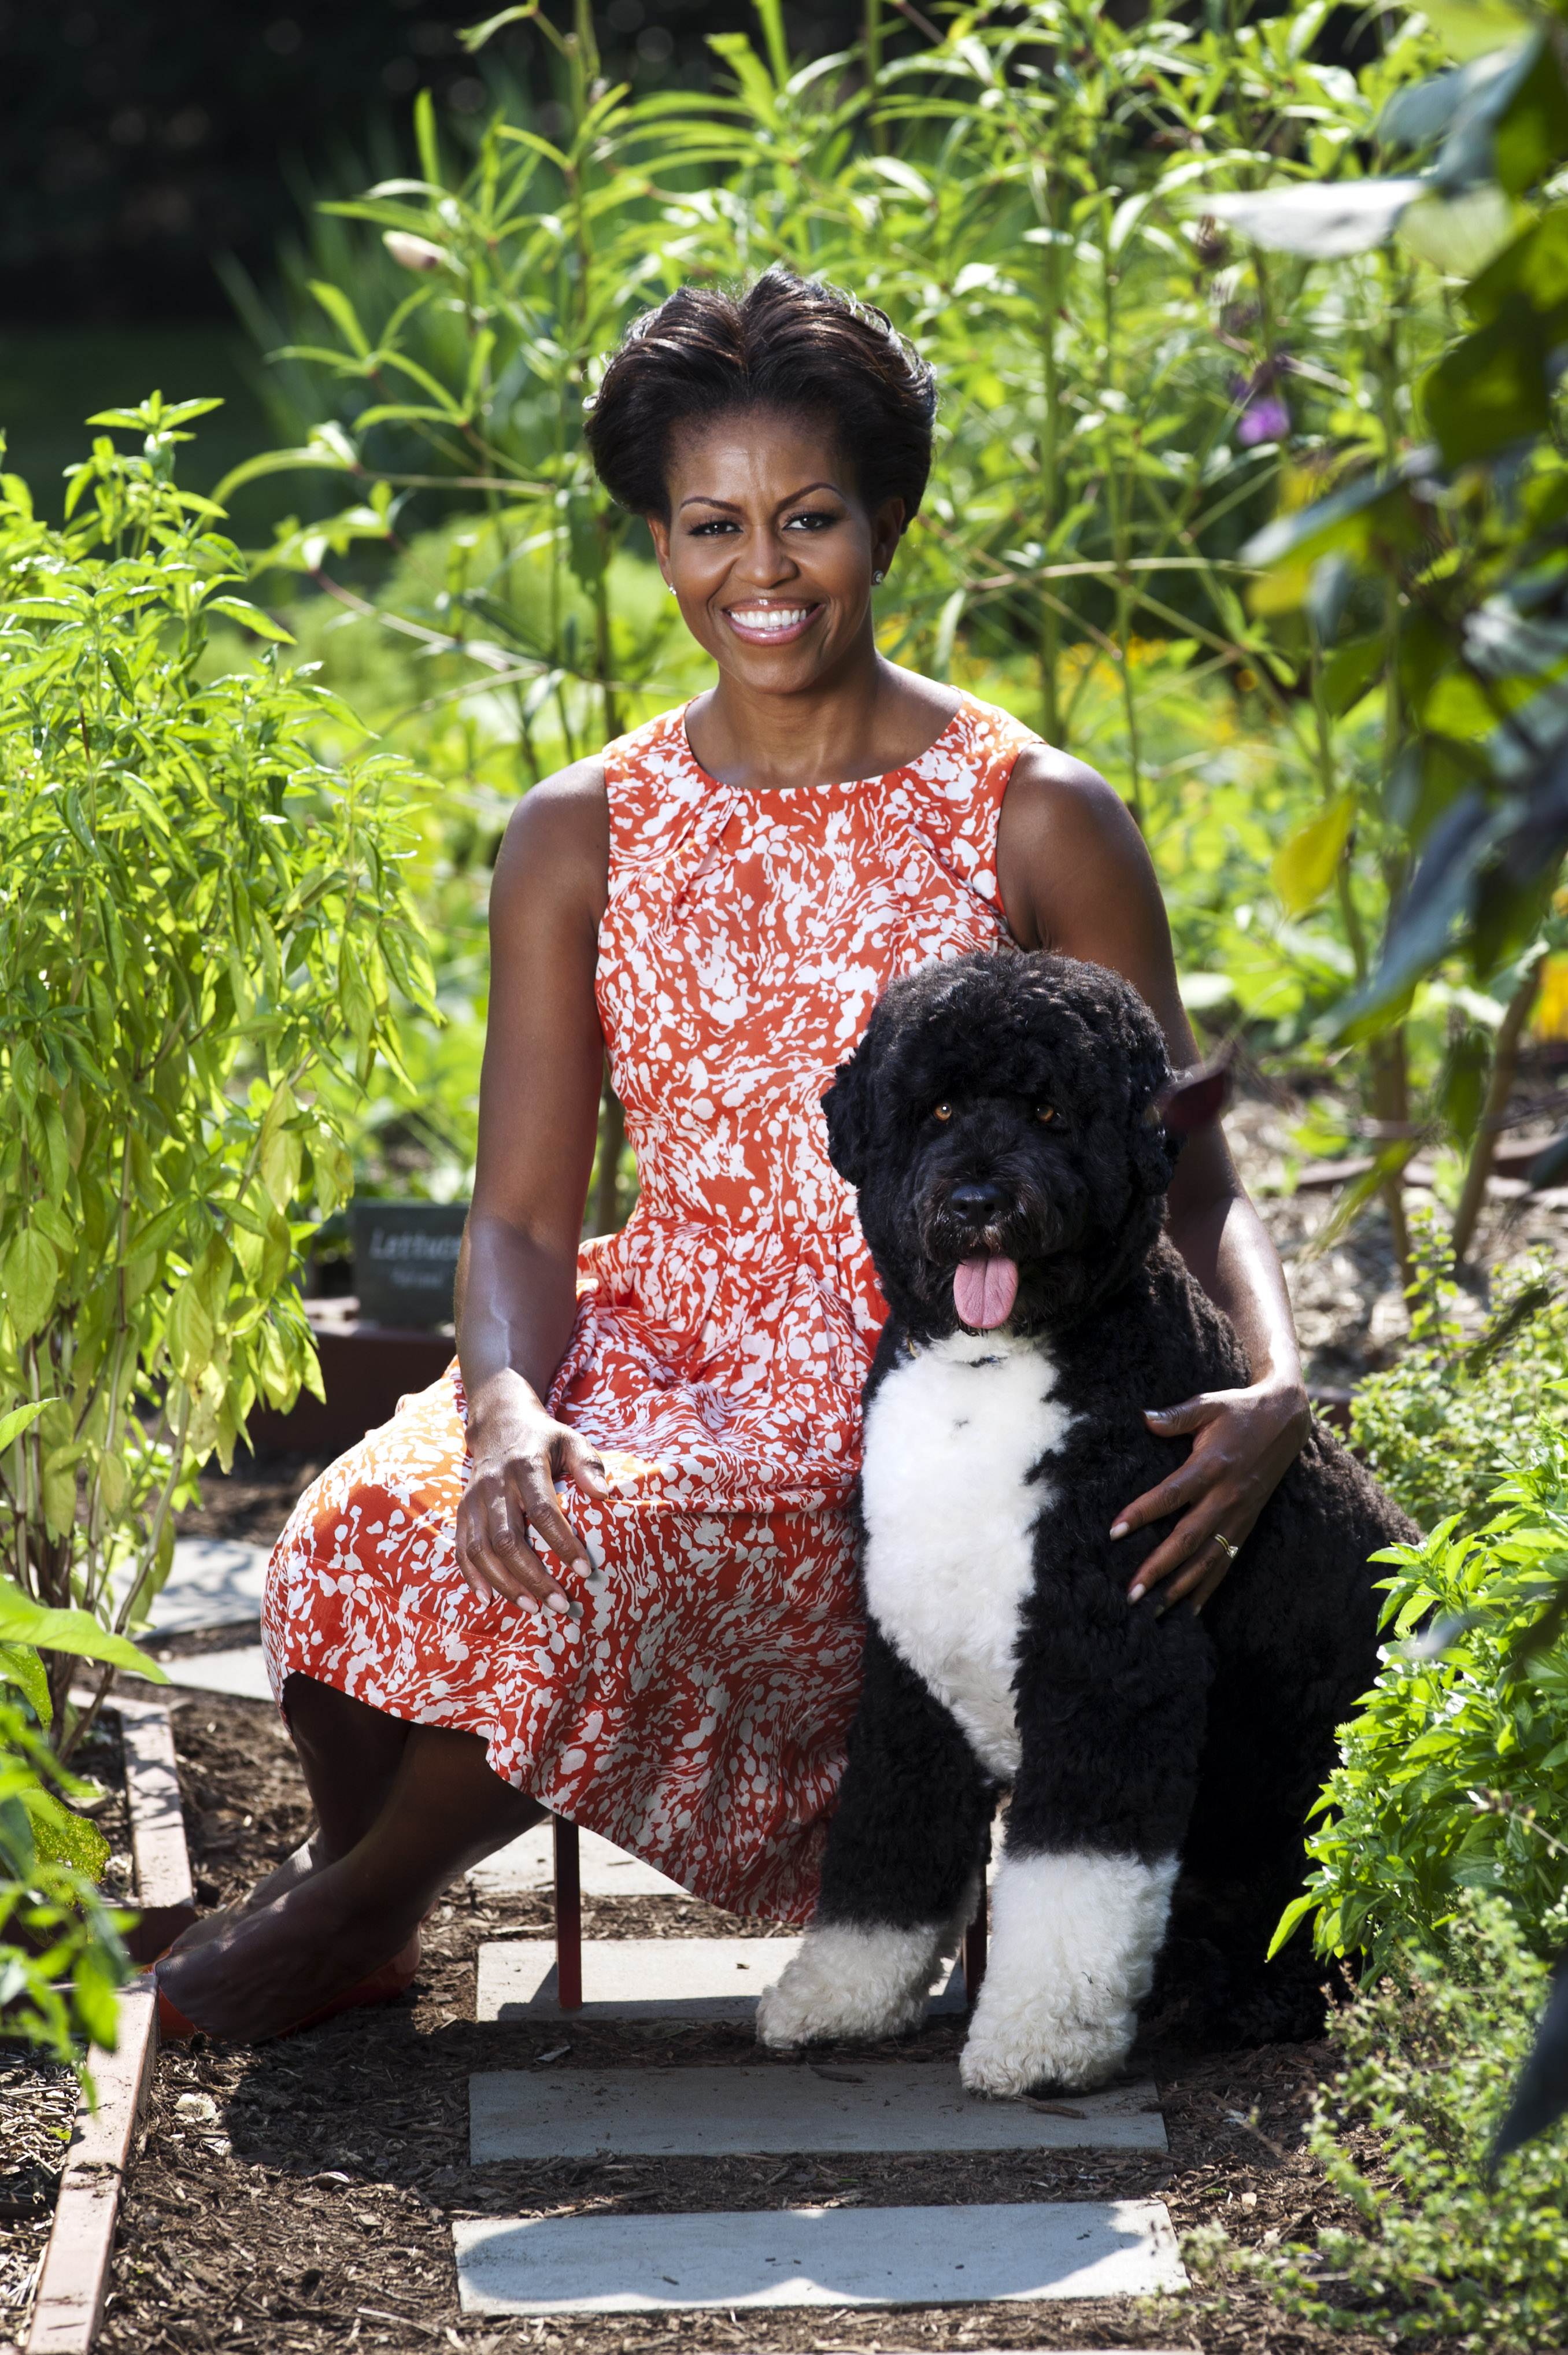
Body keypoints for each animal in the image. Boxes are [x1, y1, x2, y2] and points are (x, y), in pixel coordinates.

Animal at [758, 956, 1403, 2101]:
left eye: (1052, 1111)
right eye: (936, 1110)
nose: (977, 1200)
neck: (989, 1370)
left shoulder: (1109, 1665)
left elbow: (1071, 1882)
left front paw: (1039, 2040)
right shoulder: (909, 1670)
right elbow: (885, 1840)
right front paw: (839, 1997)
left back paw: (1253, 1997)